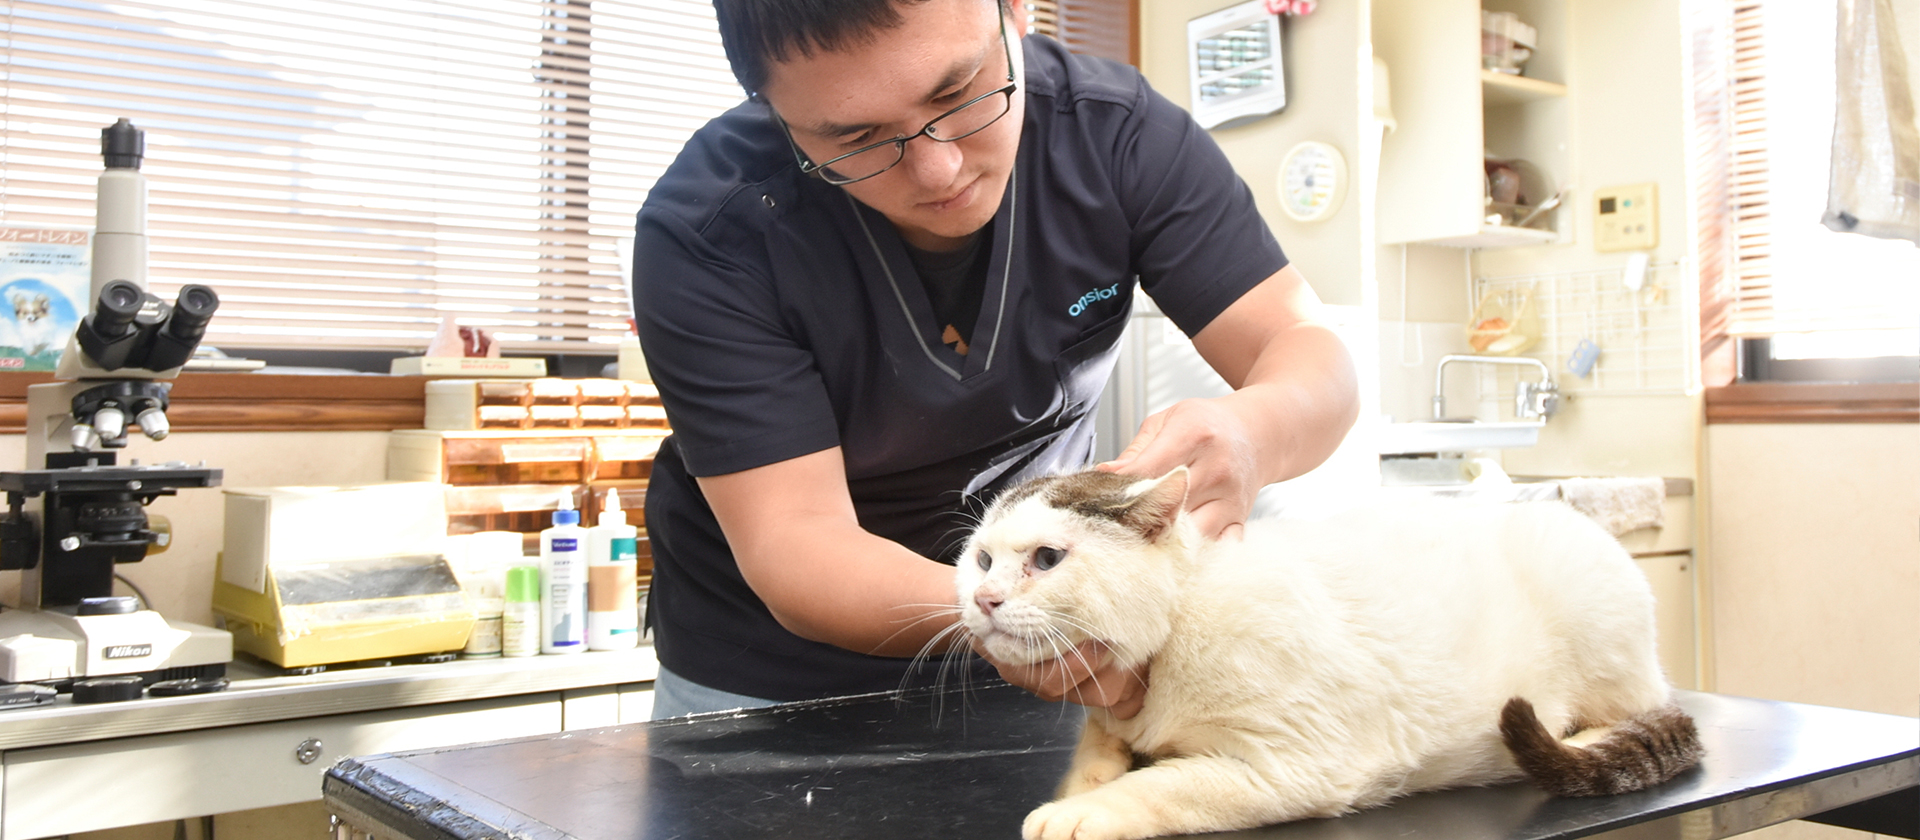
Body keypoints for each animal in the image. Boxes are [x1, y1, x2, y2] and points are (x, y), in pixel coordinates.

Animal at [956, 466, 1697, 840]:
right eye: (982, 560)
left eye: (1047, 559)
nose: (984, 599)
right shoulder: (1109, 719)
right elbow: (1096, 757)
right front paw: (1085, 785)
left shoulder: (1289, 767)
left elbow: (1158, 786)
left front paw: (1080, 812)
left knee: (1637, 710)